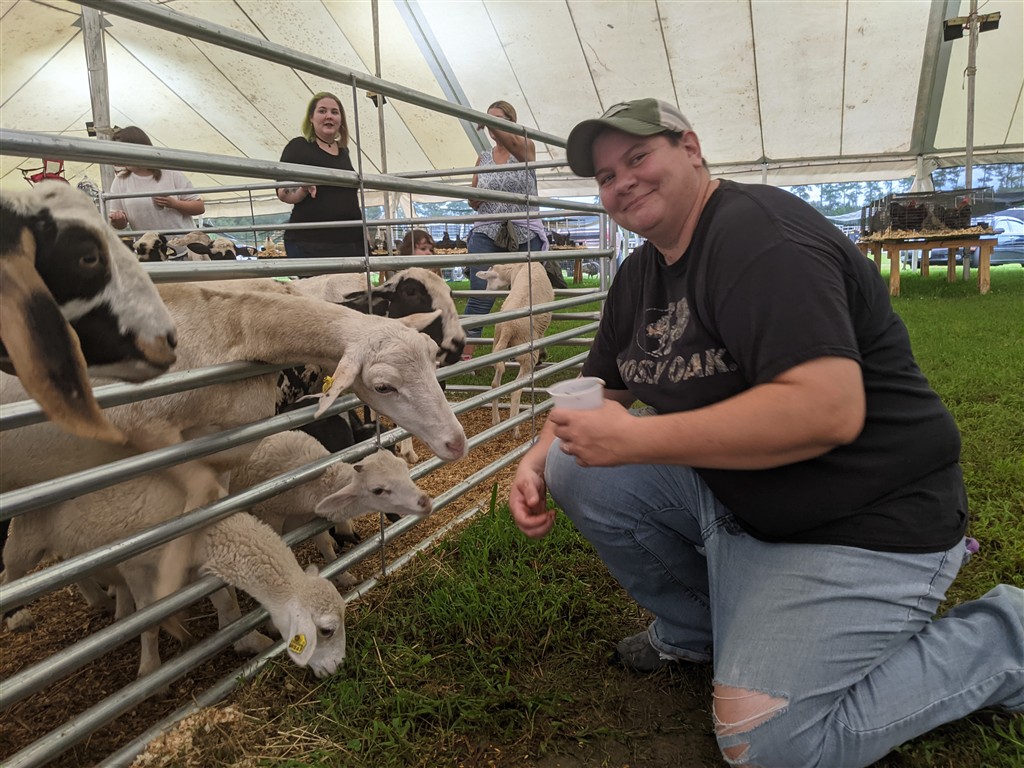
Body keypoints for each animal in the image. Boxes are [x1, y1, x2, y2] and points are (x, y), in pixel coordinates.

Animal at [475, 262, 554, 436]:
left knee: (495, 384)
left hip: (497, 347)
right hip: (527, 356)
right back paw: (515, 428)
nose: (484, 294)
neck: (517, 267)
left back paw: (496, 420)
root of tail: (508, 328)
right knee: (516, 389)